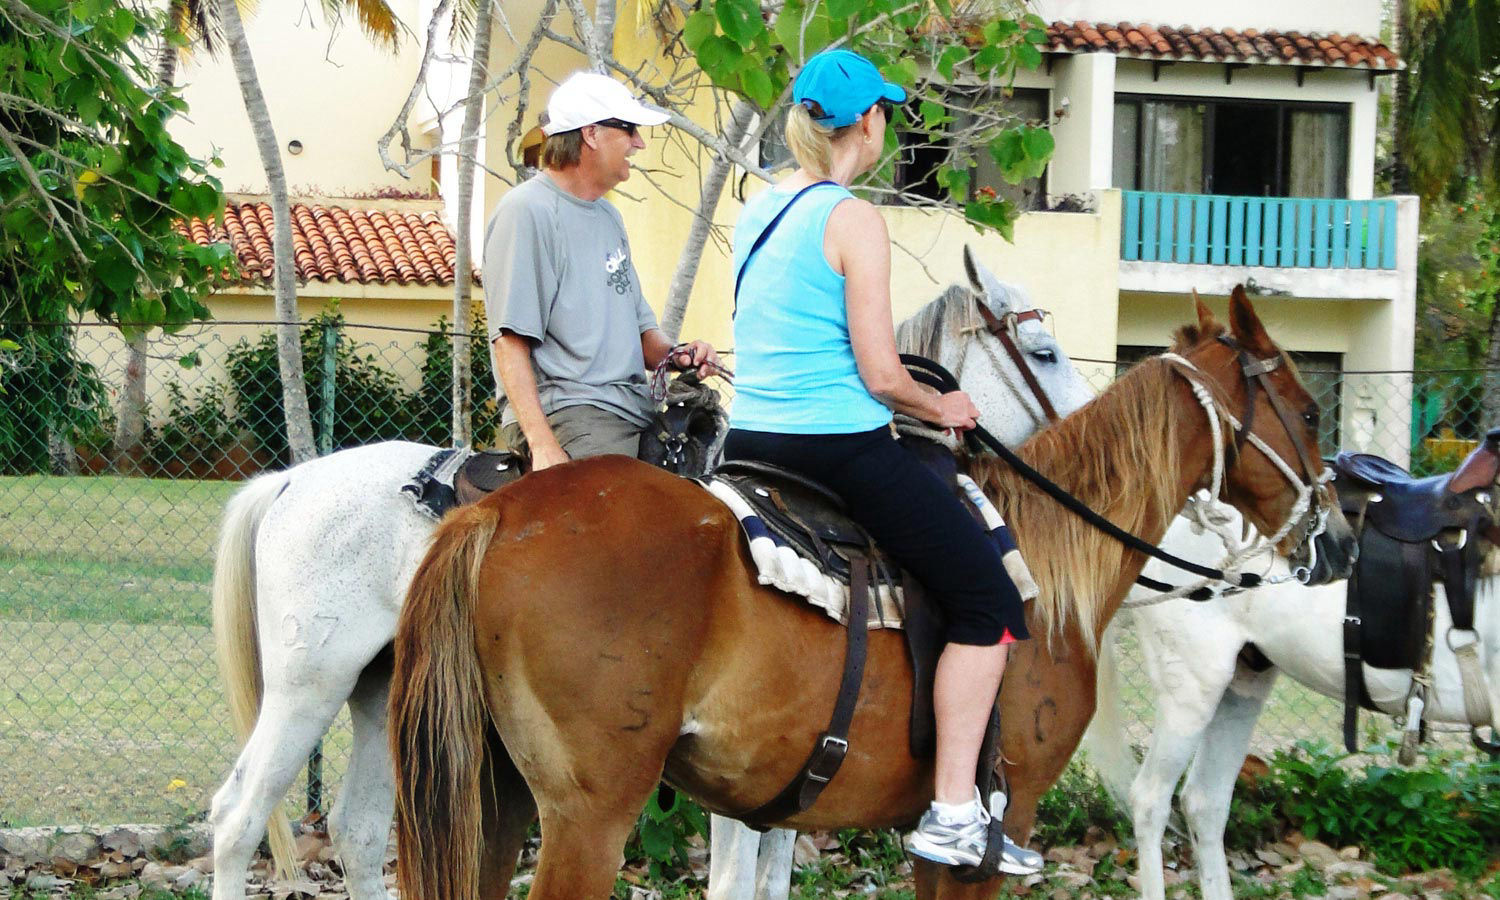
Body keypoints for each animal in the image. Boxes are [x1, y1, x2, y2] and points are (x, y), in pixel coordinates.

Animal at [208, 249, 1092, 900]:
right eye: (1043, 352)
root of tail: (291, 481)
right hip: (309, 687)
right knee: (237, 818)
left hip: (379, 691)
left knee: (358, 833)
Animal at [390, 289, 1350, 900]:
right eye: (1308, 413)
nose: (1336, 539)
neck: (1045, 569)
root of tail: (498, 513)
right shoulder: (998, 825)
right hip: (588, 815)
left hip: (495, 801)